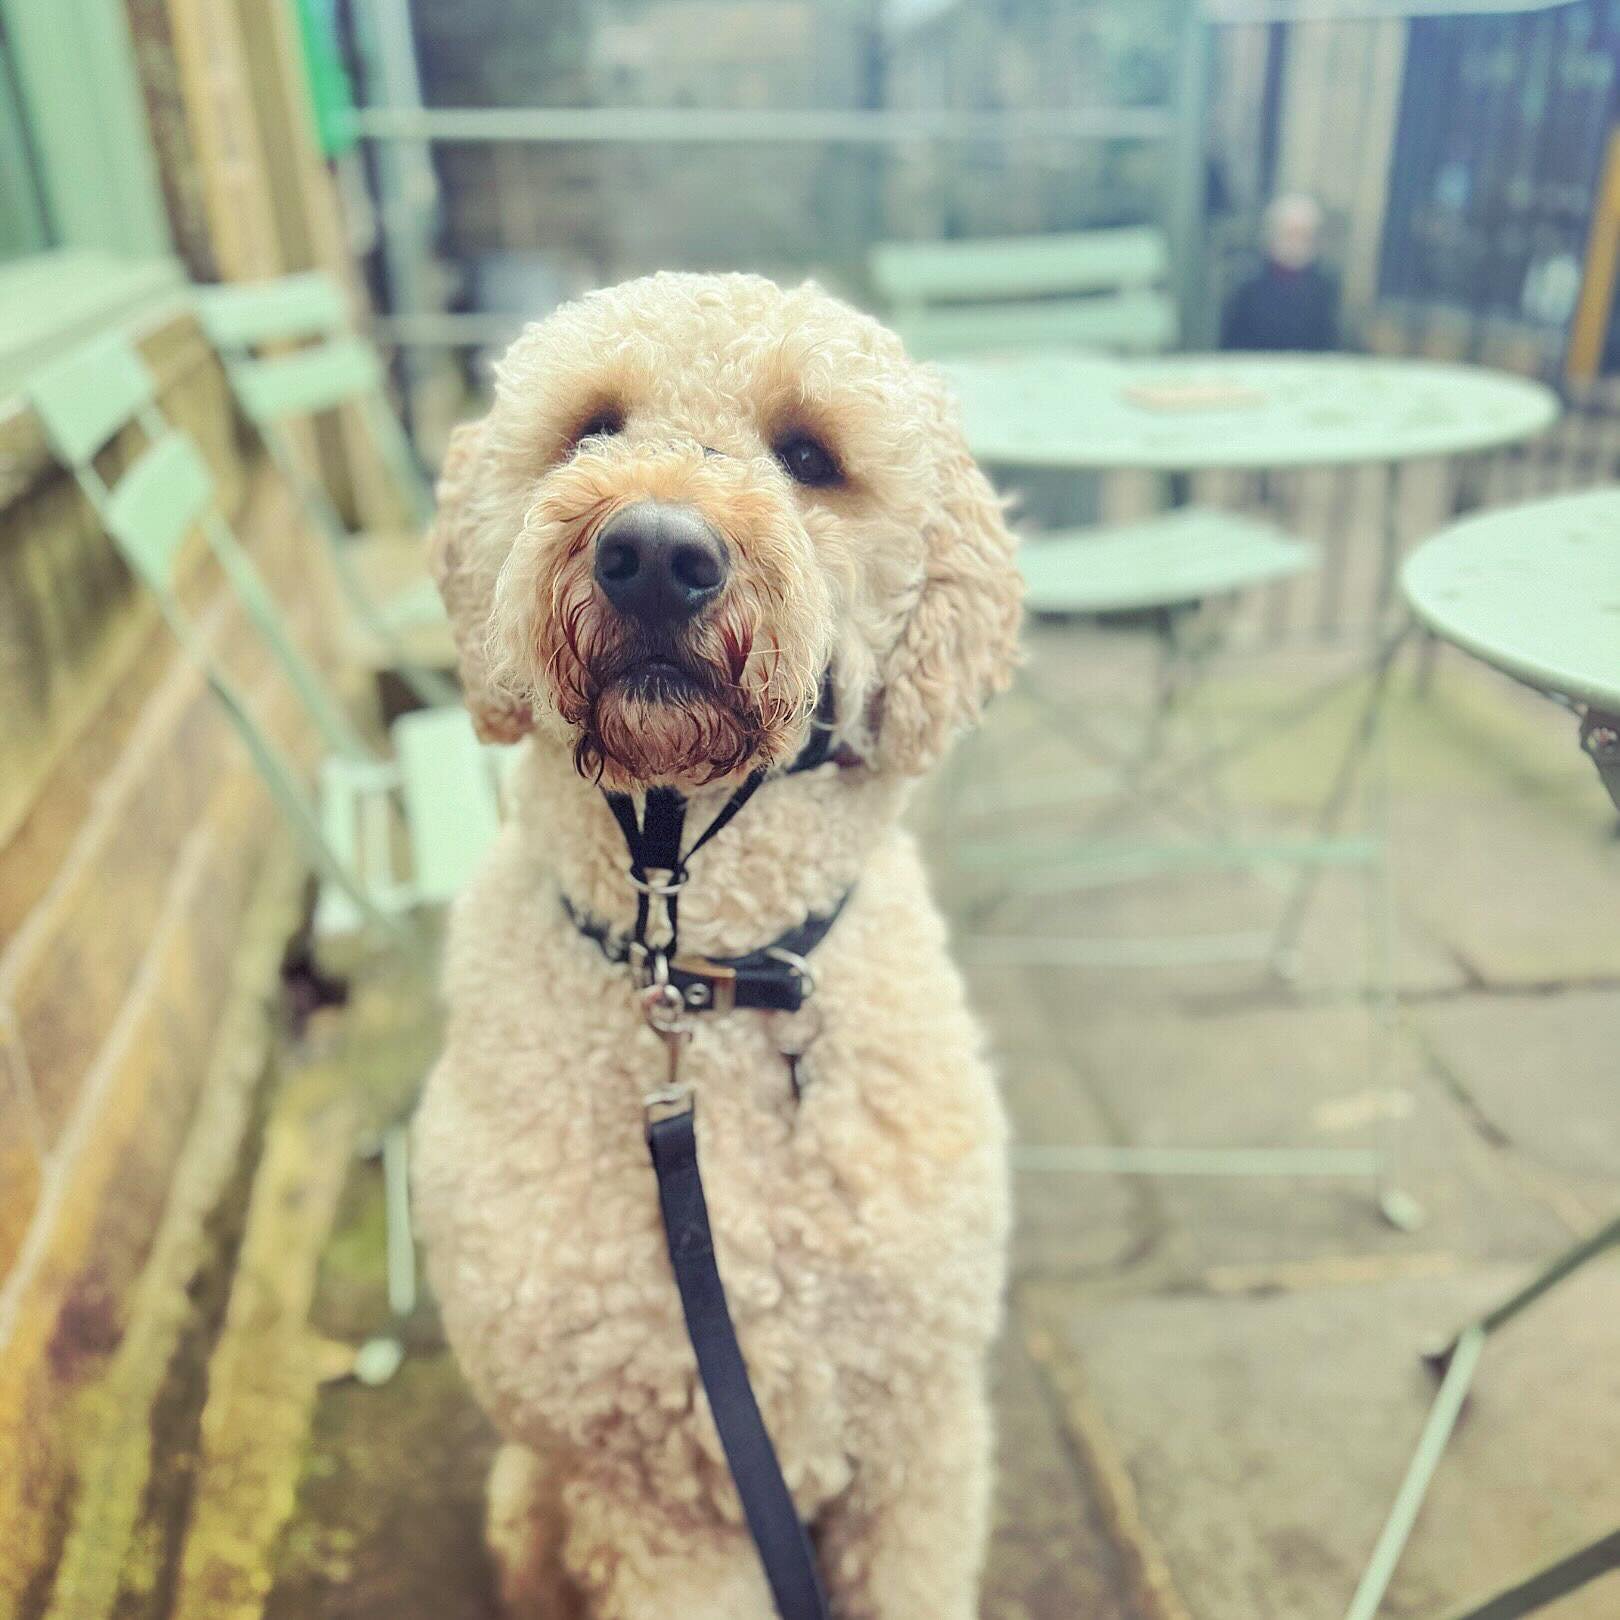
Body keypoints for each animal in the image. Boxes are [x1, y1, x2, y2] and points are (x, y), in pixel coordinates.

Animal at [417, 275, 1023, 1620]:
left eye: (810, 456)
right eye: (590, 427)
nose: (654, 553)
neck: (709, 981)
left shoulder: (921, 1439)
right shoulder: (660, 1498)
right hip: (533, 1499)